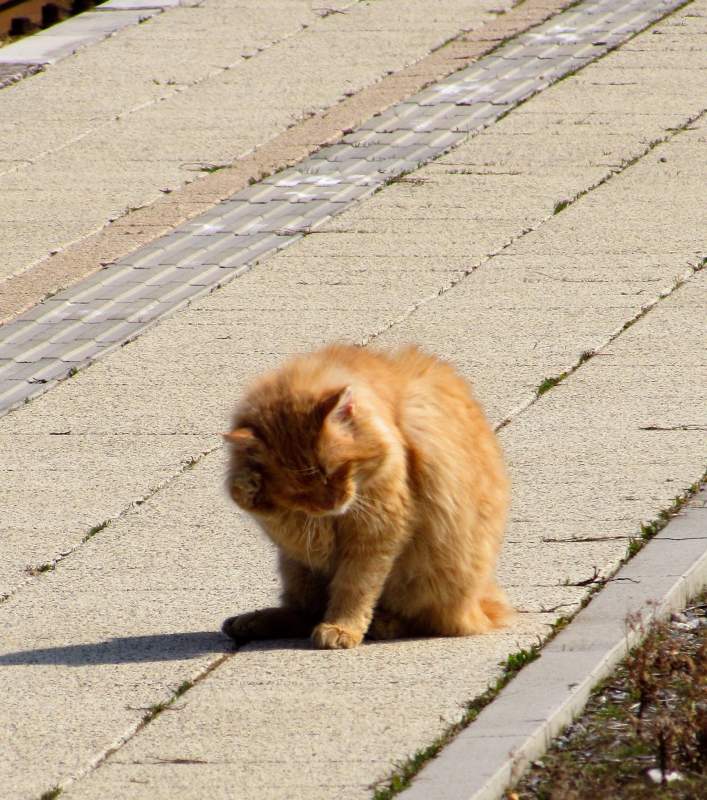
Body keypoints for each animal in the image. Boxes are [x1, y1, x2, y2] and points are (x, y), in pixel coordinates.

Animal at [224, 344, 512, 648]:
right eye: (297, 490)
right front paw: (247, 486)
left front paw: (341, 627)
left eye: (332, 471)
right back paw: (249, 622)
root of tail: (480, 604)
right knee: (304, 613)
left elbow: (355, 587)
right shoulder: (312, 541)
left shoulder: (376, 531)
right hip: (295, 570)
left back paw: (384, 624)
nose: (331, 503)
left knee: (428, 622)